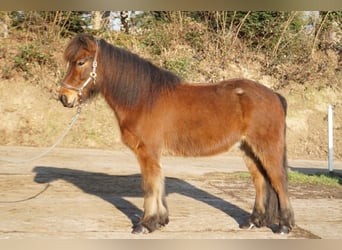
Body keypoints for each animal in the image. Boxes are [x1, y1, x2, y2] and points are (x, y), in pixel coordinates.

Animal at [58, 33, 294, 234]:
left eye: (81, 62)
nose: (64, 97)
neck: (144, 98)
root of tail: (274, 95)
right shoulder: (153, 153)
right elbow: (158, 184)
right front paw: (160, 220)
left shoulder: (147, 151)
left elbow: (149, 185)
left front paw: (145, 224)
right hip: (248, 149)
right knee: (260, 181)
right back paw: (253, 221)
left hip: (267, 147)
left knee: (278, 180)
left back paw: (284, 226)